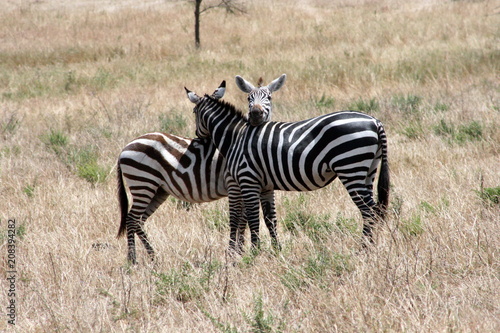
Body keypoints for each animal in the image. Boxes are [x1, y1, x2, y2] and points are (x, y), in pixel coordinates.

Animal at [117, 80, 278, 262]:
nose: (199, 137)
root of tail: (125, 147)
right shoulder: (235, 184)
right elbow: (240, 218)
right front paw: (237, 252)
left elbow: (244, 218)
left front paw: (239, 250)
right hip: (143, 183)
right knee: (131, 219)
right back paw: (132, 259)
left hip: (157, 190)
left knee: (139, 220)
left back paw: (153, 256)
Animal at [185, 88, 390, 249]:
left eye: (194, 112)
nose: (197, 138)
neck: (236, 137)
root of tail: (375, 121)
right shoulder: (265, 186)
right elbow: (270, 219)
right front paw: (276, 251)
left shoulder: (248, 180)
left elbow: (253, 218)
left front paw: (255, 253)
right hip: (368, 170)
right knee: (375, 211)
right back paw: (371, 247)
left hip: (350, 167)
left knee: (369, 211)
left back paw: (364, 249)